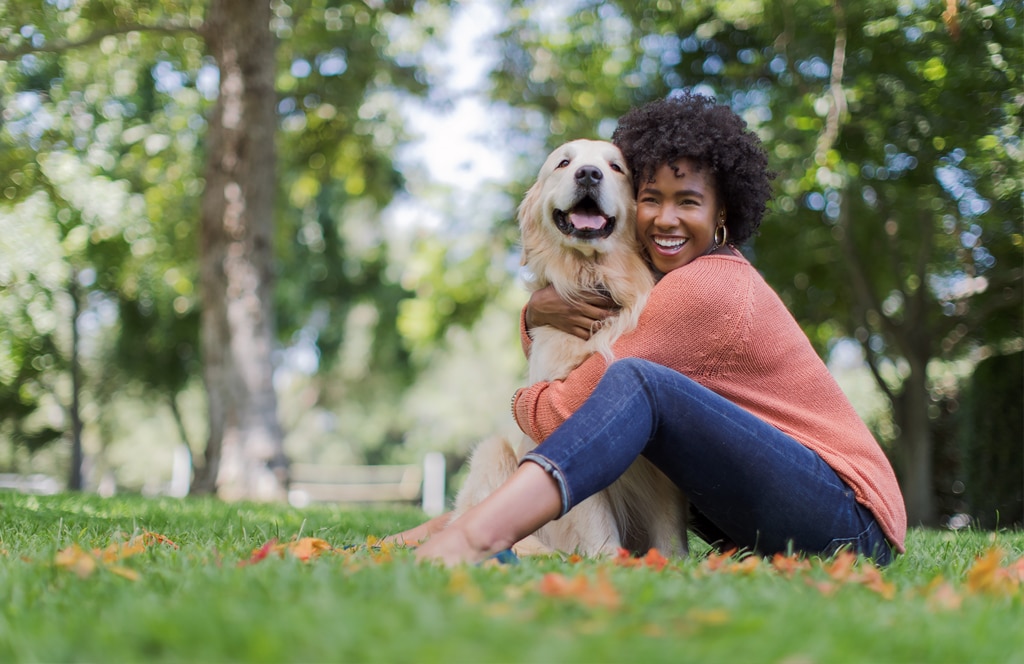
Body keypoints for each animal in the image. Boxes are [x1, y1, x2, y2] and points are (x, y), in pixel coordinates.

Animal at [454, 140, 688, 561]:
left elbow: (668, 526)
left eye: (616, 167)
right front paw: (609, 560)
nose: (589, 175)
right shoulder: (557, 417)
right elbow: (592, 513)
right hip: (492, 452)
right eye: (564, 162)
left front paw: (673, 564)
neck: (592, 276)